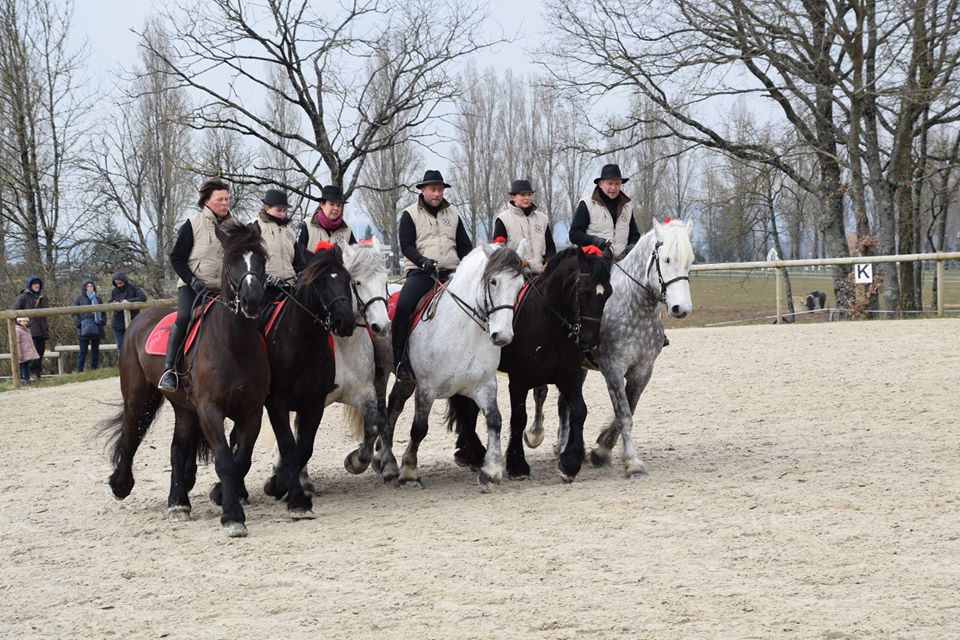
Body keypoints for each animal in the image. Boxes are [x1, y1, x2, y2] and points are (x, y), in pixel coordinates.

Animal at [105, 218, 268, 536]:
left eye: (262, 259)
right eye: (231, 261)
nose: (253, 300)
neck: (234, 344)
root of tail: (139, 320)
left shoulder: (252, 411)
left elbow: (240, 458)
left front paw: (222, 496)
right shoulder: (210, 409)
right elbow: (225, 461)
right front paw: (233, 516)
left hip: (183, 408)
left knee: (177, 450)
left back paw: (178, 502)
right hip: (139, 396)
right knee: (131, 432)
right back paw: (121, 484)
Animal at [258, 242, 356, 516]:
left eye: (347, 278)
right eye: (321, 282)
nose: (346, 321)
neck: (299, 344)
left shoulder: (313, 404)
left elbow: (304, 448)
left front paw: (279, 485)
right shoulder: (276, 403)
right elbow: (289, 448)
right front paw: (296, 500)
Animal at [266, 238, 390, 502]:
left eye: (384, 280)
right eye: (357, 282)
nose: (382, 326)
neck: (342, 346)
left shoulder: (363, 392)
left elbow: (372, 426)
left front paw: (354, 461)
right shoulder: (311, 400)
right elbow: (297, 437)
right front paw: (290, 479)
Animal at [376, 242, 524, 488]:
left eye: (520, 285)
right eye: (493, 281)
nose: (502, 336)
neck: (462, 329)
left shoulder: (484, 385)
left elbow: (495, 420)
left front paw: (491, 470)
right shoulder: (426, 389)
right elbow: (419, 429)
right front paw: (409, 471)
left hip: (406, 381)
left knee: (393, 407)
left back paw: (381, 459)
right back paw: (385, 463)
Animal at [444, 248, 612, 482]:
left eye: (608, 294)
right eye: (584, 293)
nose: (590, 341)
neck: (549, 322)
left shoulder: (570, 376)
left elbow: (579, 411)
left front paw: (570, 462)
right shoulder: (519, 381)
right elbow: (519, 418)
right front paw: (517, 464)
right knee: (462, 404)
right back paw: (470, 452)